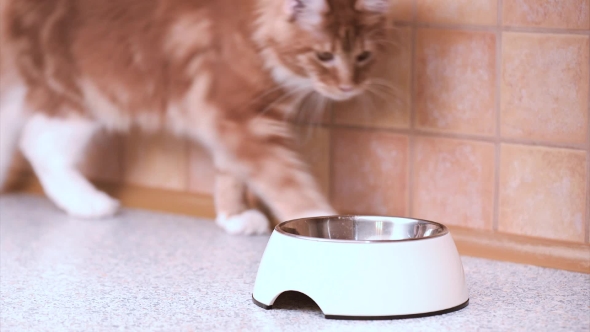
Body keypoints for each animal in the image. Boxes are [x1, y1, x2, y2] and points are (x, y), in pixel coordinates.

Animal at [2, 0, 396, 235]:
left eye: (363, 57)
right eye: (324, 56)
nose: (348, 86)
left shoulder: (232, 122)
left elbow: (230, 174)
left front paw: (233, 217)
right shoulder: (244, 122)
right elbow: (288, 183)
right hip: (82, 93)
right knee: (39, 144)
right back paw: (88, 203)